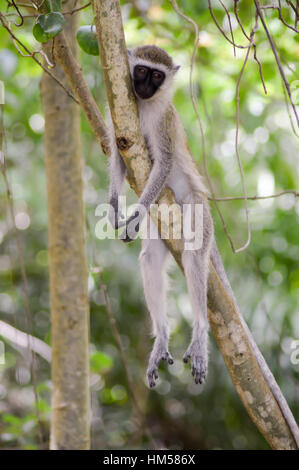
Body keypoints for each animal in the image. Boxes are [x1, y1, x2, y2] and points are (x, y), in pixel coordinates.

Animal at [109, 46, 233, 388]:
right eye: (141, 71)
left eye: (157, 75)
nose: (145, 87)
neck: (144, 106)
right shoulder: (119, 120)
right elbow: (119, 155)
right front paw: (113, 205)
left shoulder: (163, 123)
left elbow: (163, 164)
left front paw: (135, 213)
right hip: (161, 228)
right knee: (150, 258)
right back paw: (162, 337)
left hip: (198, 210)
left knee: (193, 256)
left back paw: (200, 335)